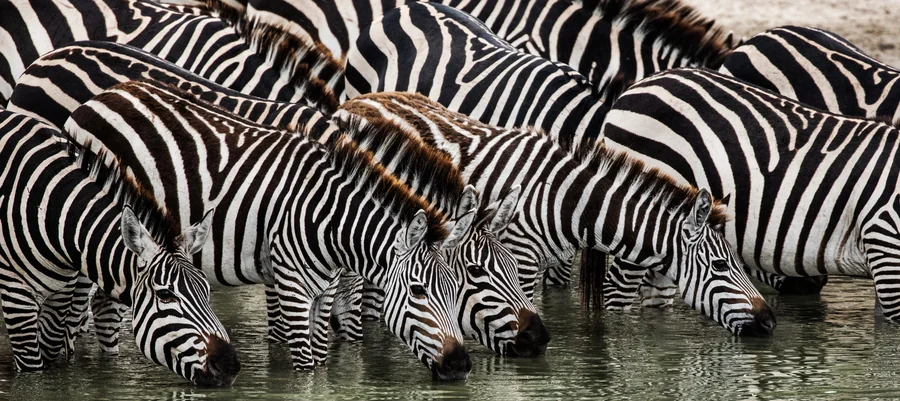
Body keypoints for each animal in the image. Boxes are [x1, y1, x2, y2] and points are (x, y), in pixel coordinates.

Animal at [0, 107, 239, 385]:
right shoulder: (15, 293)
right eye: (165, 295)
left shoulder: (61, 292)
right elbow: (32, 366)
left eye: (207, 291)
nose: (229, 366)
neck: (48, 210)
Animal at [64, 81, 477, 378]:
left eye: (455, 289)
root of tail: (97, 99)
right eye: (419, 290)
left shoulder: (325, 288)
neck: (330, 218)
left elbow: (321, 359)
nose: (460, 366)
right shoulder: (292, 285)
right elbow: (306, 367)